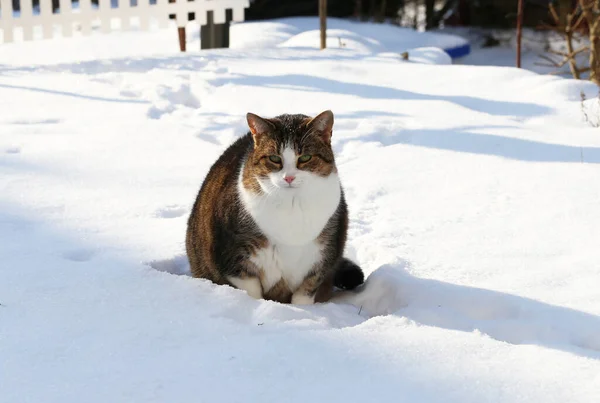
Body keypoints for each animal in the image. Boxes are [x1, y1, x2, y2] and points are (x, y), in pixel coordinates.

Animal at [188, 110, 364, 306]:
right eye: (274, 158)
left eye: (305, 158)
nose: (289, 178)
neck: (292, 206)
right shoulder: (233, 257)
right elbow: (250, 289)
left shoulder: (322, 257)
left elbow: (306, 291)